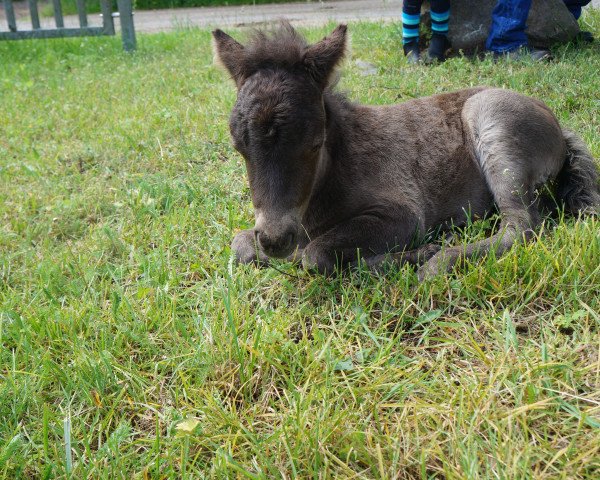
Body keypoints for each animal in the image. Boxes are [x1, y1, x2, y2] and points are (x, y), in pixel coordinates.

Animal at [213, 24, 596, 280]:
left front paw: (413, 254)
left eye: (315, 143)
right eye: (239, 148)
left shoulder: (402, 214)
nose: (275, 240)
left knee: (523, 227)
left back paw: (440, 261)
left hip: (494, 125)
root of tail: (557, 125)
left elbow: (314, 255)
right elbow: (241, 244)